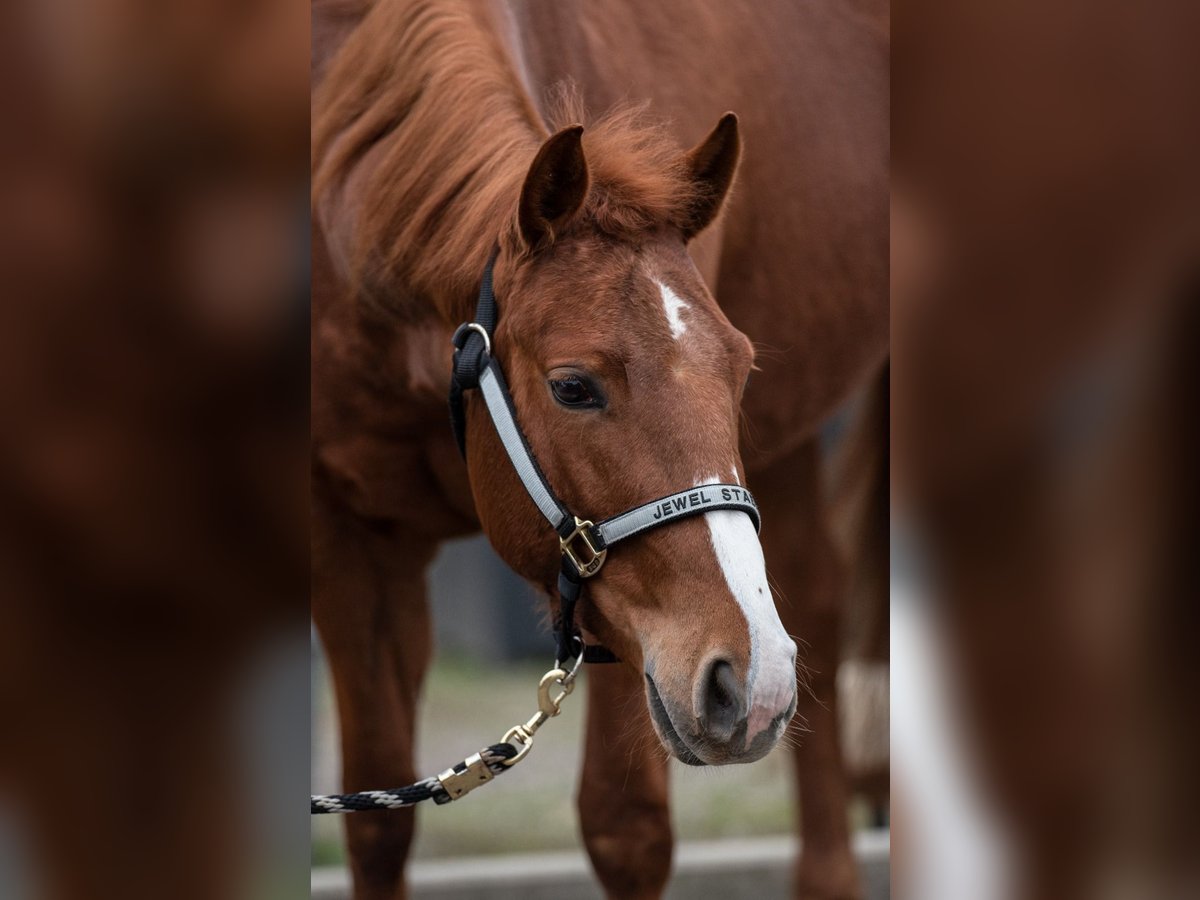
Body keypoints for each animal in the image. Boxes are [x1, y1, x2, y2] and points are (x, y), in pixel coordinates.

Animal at [314, 1, 888, 900]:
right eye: (573, 387)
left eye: (740, 369)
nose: (750, 685)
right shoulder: (354, 538)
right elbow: (379, 823)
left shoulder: (625, 620)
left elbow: (626, 830)